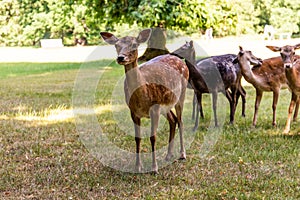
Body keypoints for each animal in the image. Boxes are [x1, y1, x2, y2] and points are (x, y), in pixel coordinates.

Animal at [99, 29, 189, 173]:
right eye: (116, 45)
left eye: (134, 45)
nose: (121, 58)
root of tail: (181, 62)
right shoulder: (133, 111)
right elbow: (137, 138)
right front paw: (138, 166)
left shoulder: (155, 108)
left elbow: (153, 137)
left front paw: (154, 168)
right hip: (166, 104)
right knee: (173, 120)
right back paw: (168, 155)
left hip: (182, 93)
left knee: (180, 121)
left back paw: (182, 154)